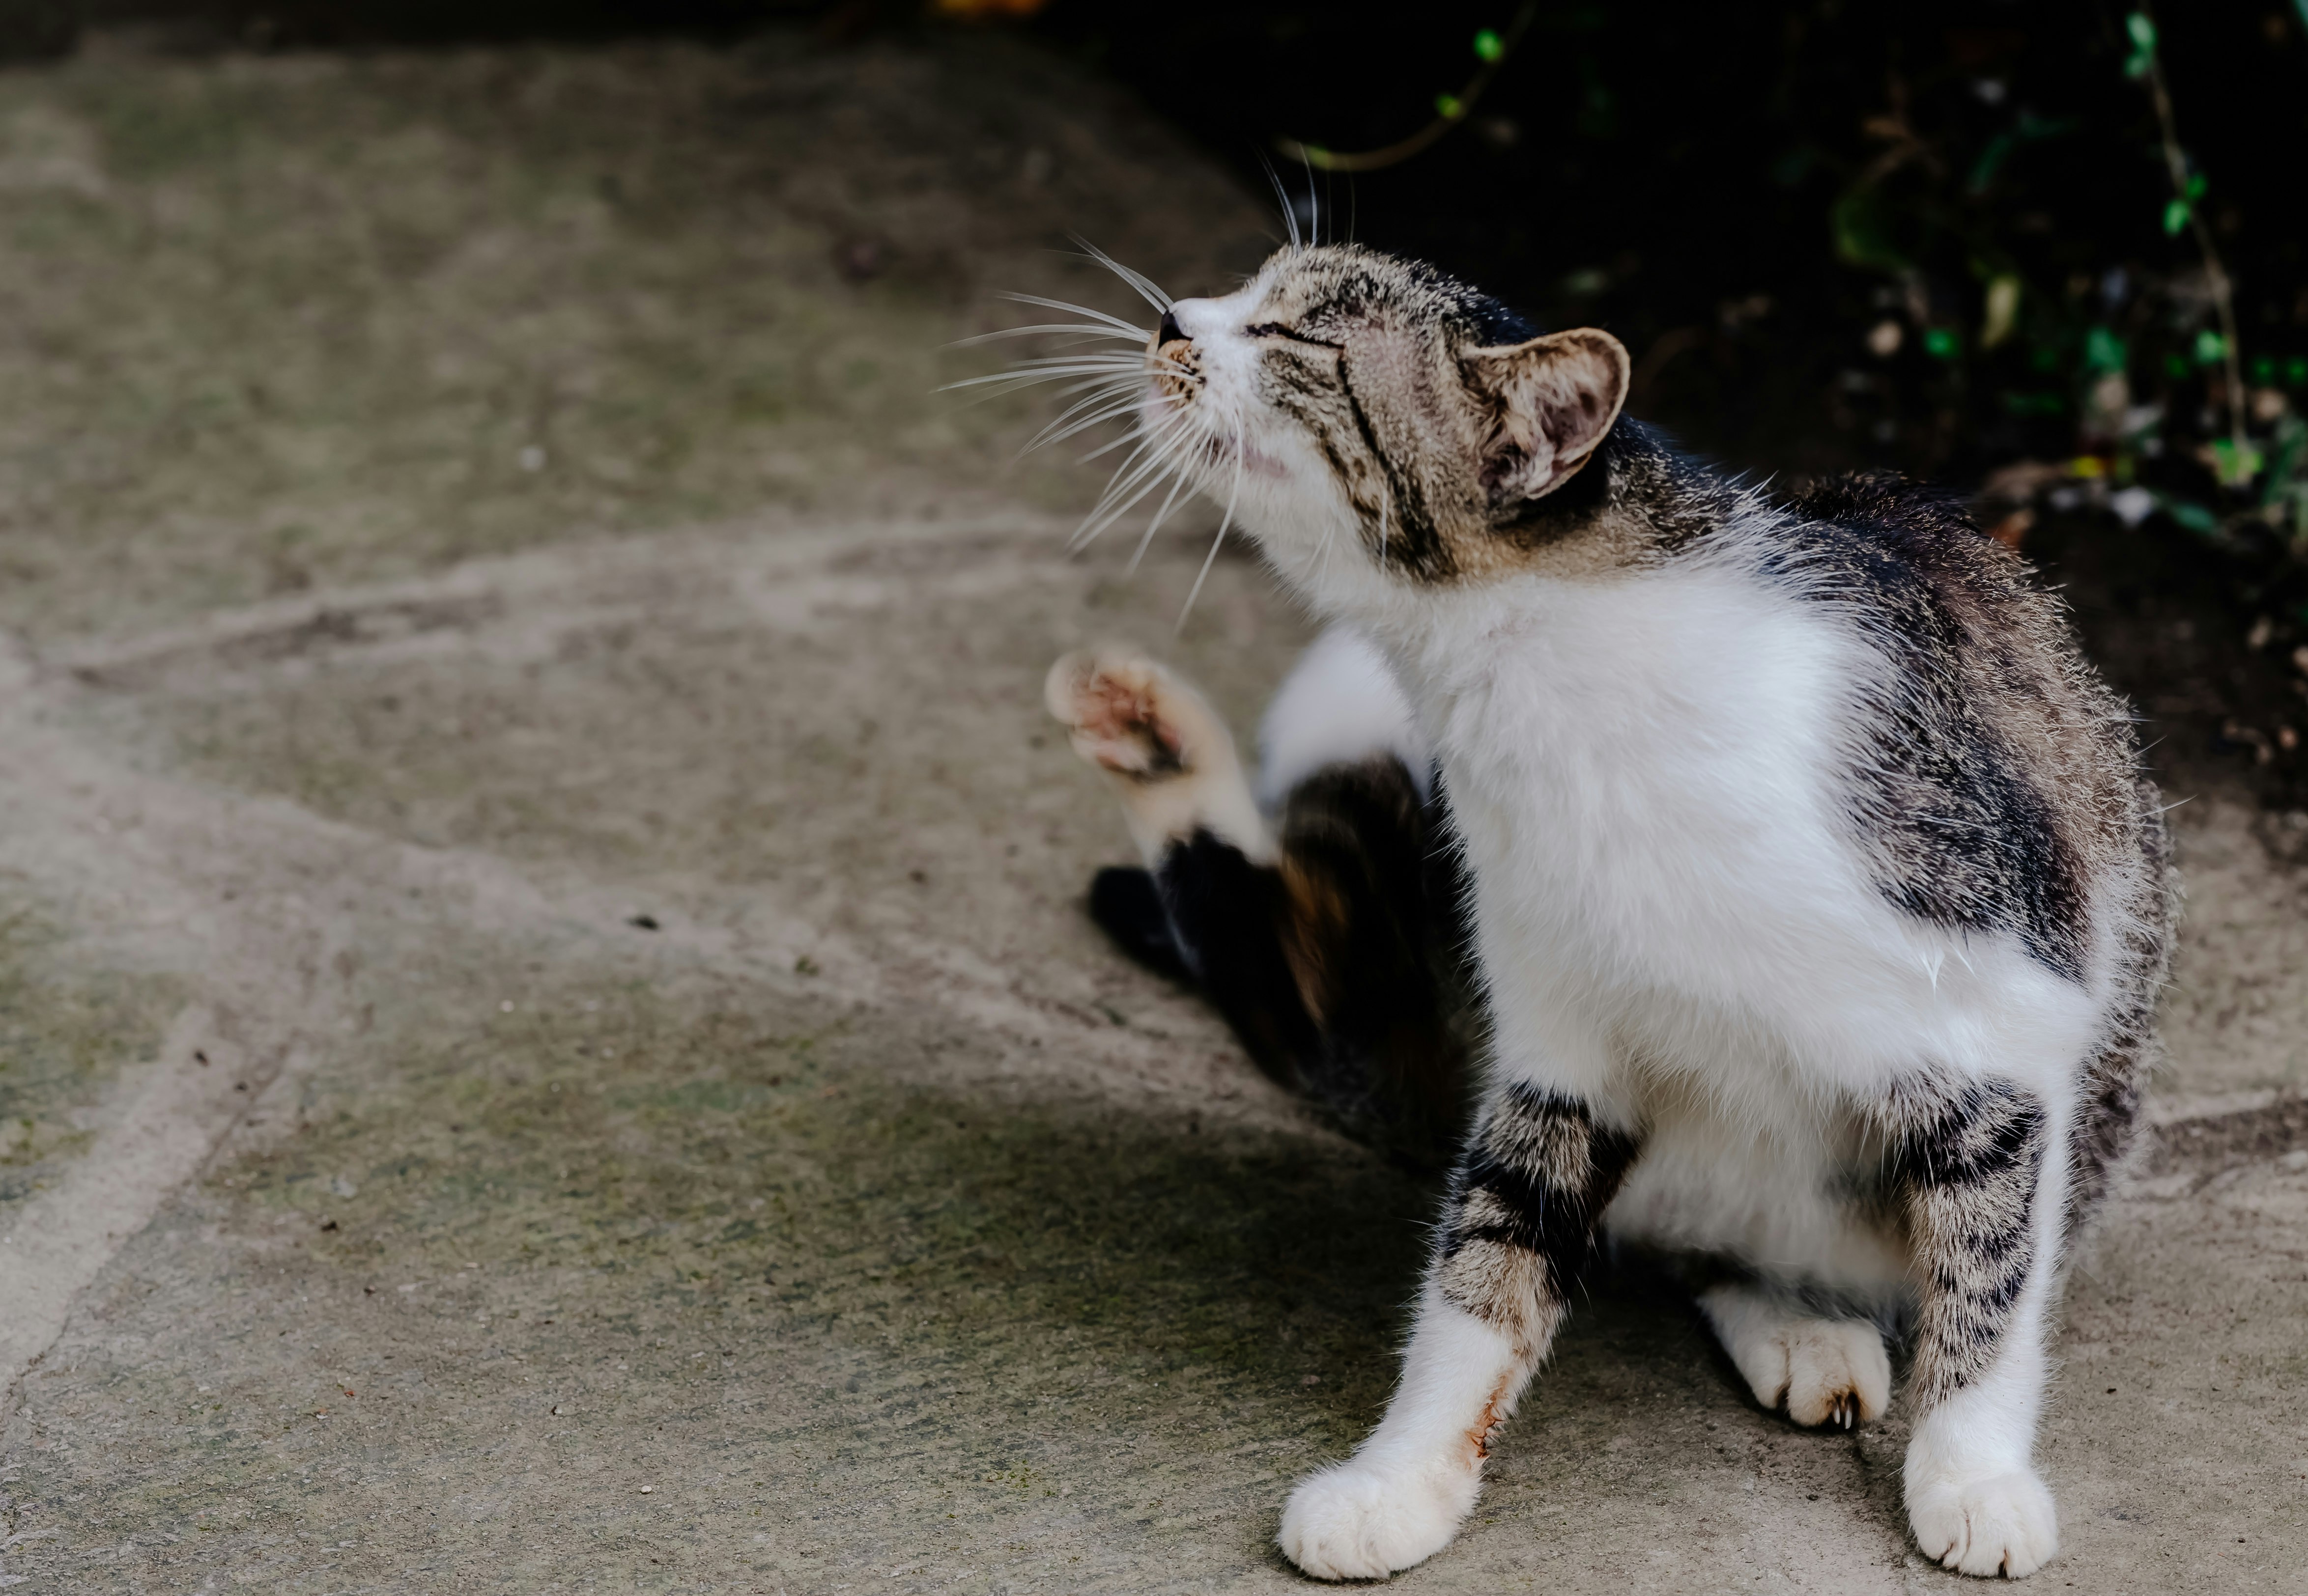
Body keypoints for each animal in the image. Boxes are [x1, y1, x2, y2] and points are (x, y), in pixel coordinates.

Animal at [1029, 243, 2178, 1577]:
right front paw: (1399, 1480)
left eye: (1299, 337)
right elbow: (1485, 1268)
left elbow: (1990, 1278)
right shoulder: (1556, 1054)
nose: (1172, 319)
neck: (1538, 684)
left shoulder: (2001, 1018)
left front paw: (1974, 1476)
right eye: (1253, 287)